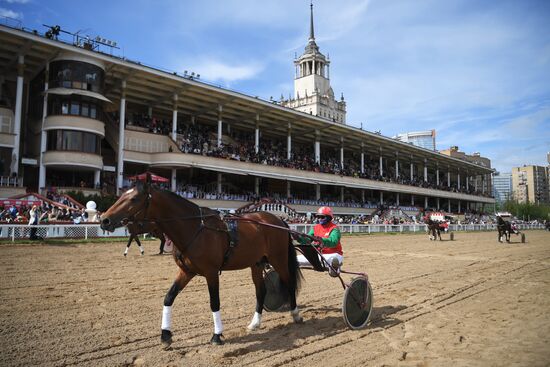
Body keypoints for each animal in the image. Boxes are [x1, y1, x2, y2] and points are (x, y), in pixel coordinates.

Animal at [101, 181, 304, 348]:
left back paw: (295, 314)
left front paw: (217, 336)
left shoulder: (211, 272)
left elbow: (214, 302)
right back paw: (255, 323)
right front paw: (165, 335)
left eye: (134, 199)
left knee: (289, 283)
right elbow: (169, 297)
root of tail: (278, 220)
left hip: (278, 259)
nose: (104, 220)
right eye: (121, 196)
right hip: (256, 263)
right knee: (261, 291)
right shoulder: (186, 271)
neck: (195, 228)